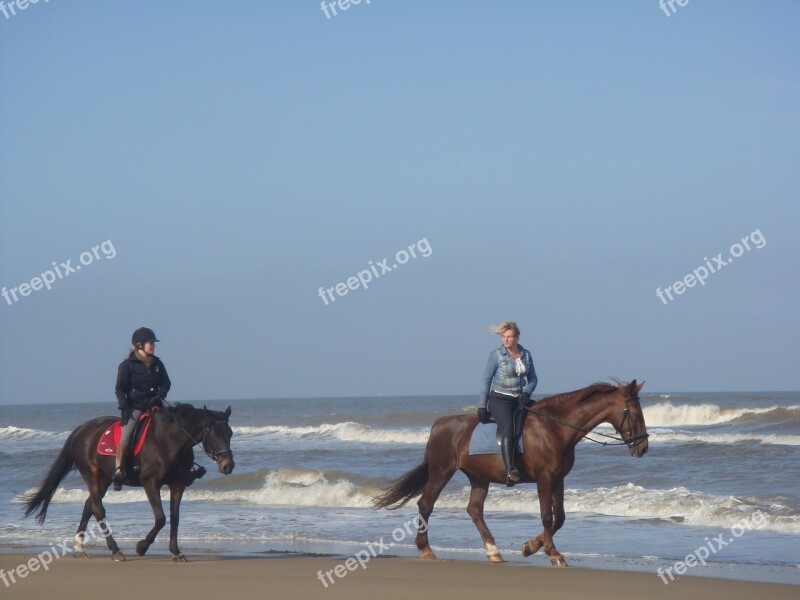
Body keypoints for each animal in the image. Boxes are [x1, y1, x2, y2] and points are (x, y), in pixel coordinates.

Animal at [22, 404, 234, 564]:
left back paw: (80, 548)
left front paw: (176, 551)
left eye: (230, 433)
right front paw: (141, 547)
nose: (228, 466)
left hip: (104, 479)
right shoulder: (150, 483)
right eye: (215, 434)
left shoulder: (178, 484)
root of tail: (81, 429)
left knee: (89, 506)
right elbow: (161, 518)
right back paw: (115, 550)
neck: (169, 441)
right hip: (92, 476)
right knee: (98, 509)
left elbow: (175, 518)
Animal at [376, 380, 648, 568]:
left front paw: (530, 547)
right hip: (442, 471)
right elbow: (547, 517)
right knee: (426, 504)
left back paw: (493, 551)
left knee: (474, 510)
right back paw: (426, 550)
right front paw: (553, 554)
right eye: (635, 412)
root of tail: (439, 424)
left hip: (479, 478)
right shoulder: (544, 479)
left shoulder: (558, 479)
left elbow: (559, 517)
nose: (643, 447)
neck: (555, 428)